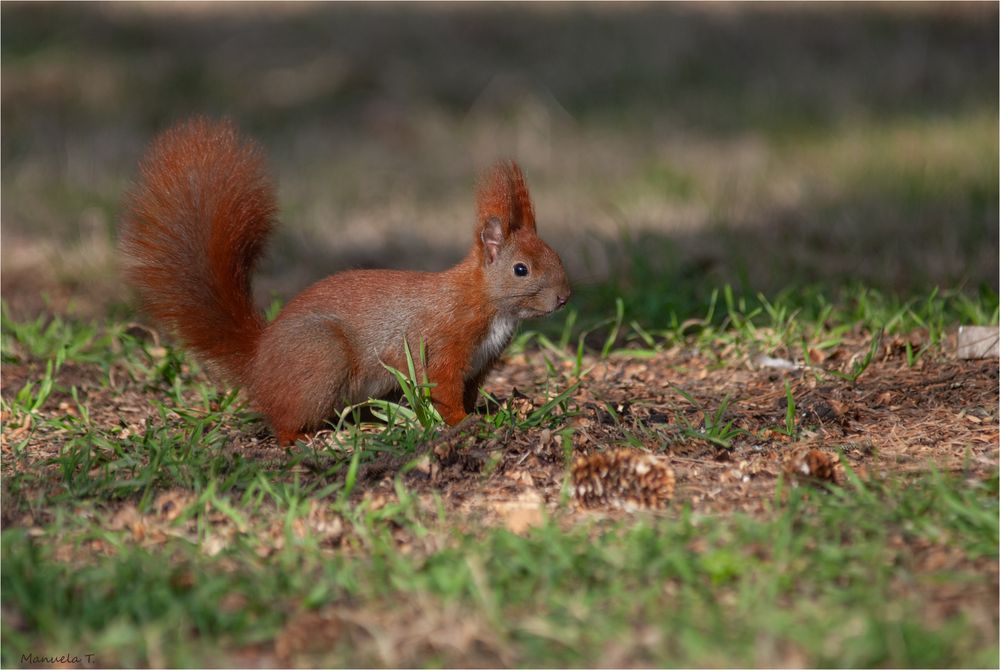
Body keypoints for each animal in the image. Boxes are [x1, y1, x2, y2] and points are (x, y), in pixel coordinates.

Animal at [119, 119, 572, 446]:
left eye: (556, 255)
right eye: (521, 270)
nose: (565, 297)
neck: (486, 302)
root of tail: (258, 361)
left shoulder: (480, 365)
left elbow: (467, 391)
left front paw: (485, 413)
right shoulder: (444, 343)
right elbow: (445, 392)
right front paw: (464, 424)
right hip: (322, 358)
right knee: (283, 419)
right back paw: (302, 437)